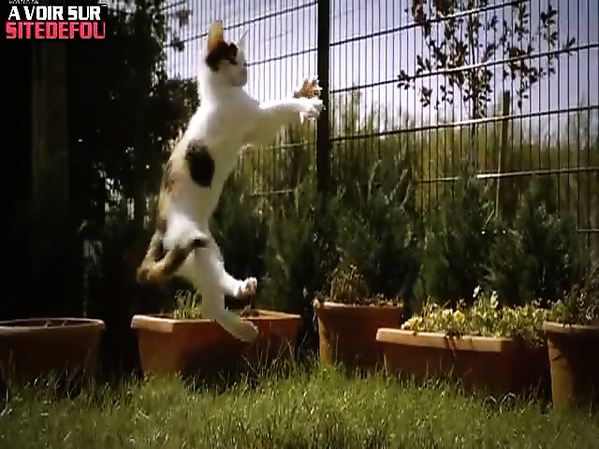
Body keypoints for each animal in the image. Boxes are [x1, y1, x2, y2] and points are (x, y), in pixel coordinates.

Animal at [136, 20, 324, 343]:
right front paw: (307, 105)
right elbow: (278, 107)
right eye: (237, 61)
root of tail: (160, 227)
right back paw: (244, 320)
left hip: (203, 250)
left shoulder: (254, 124)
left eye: (246, 63)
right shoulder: (256, 119)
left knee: (214, 291)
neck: (218, 94)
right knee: (211, 302)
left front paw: (304, 89)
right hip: (193, 243)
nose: (246, 74)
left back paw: (242, 299)